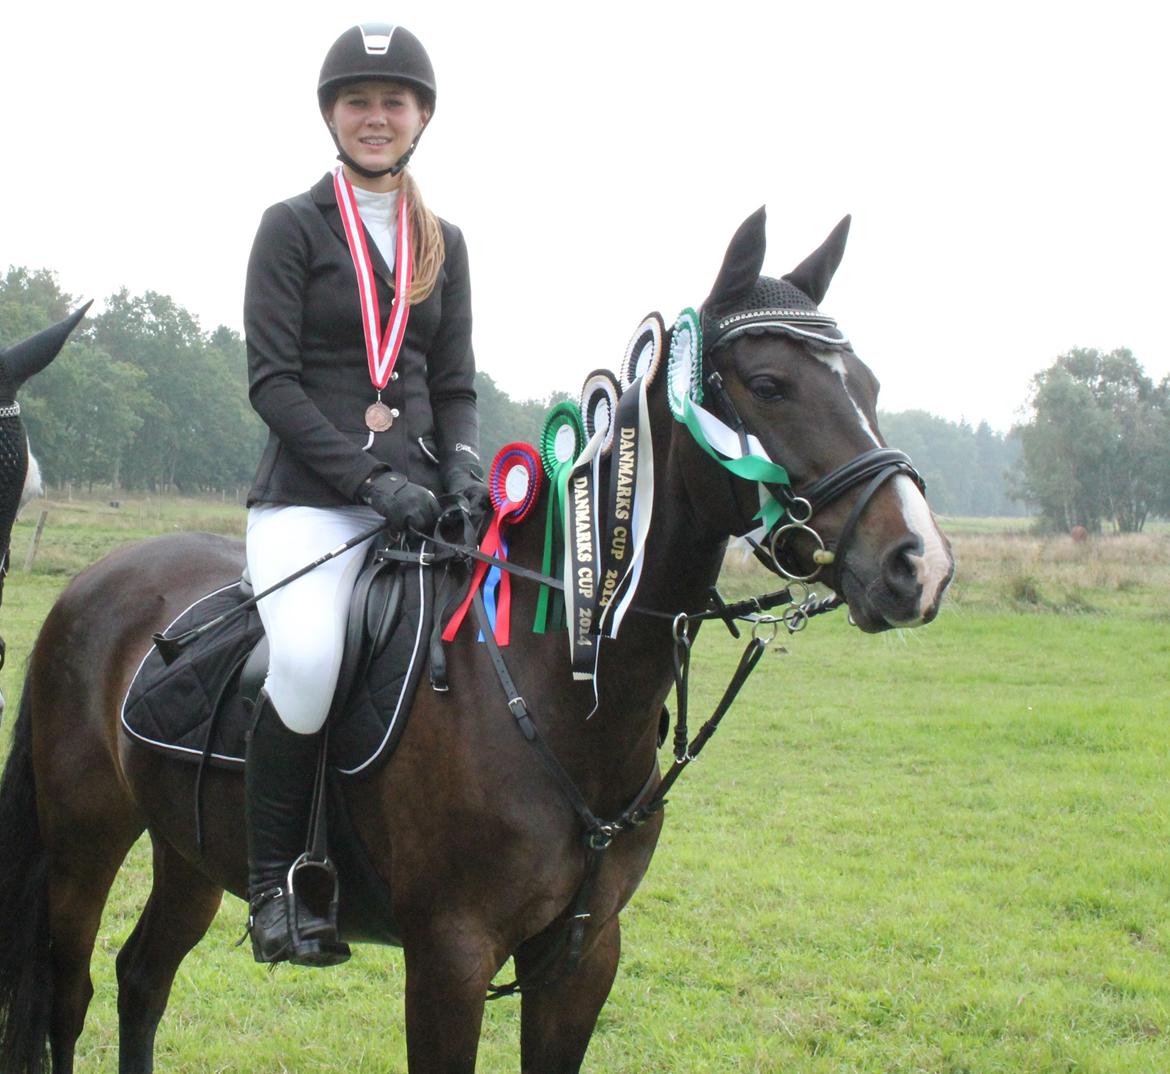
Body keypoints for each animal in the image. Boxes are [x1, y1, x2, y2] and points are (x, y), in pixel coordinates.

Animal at [0, 209, 953, 1074]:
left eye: (869, 386)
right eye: (768, 383)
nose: (920, 565)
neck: (556, 685)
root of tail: (96, 581)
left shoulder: (582, 956)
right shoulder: (450, 958)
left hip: (189, 848)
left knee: (142, 978)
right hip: (86, 839)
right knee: (70, 993)